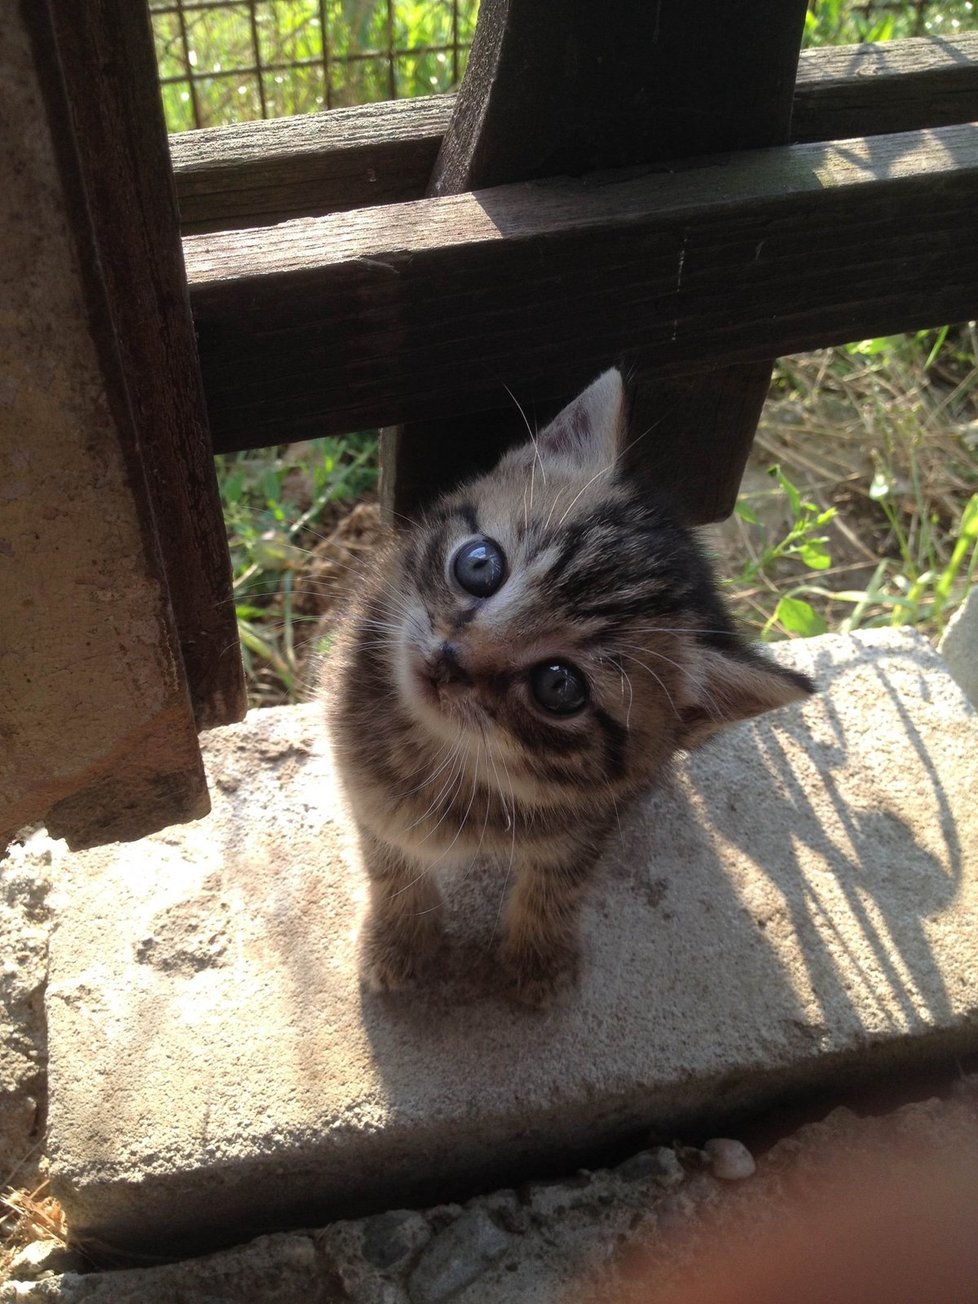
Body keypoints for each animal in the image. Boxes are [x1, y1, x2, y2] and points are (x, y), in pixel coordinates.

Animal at [327, 370, 813, 1006]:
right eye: (479, 564)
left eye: (559, 686)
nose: (450, 660)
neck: (451, 759)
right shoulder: (355, 770)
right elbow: (387, 858)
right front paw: (401, 936)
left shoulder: (596, 813)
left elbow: (561, 879)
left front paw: (539, 952)